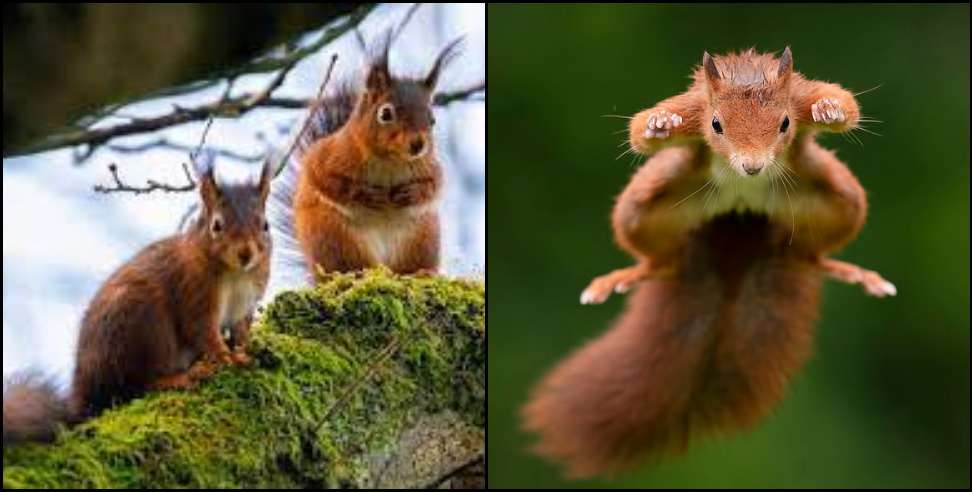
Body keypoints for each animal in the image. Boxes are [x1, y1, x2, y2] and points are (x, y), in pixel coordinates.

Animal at [3, 159, 272, 446]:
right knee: (134, 386)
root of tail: (83, 395)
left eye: (265, 225)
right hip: (143, 327)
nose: (246, 253)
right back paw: (179, 378)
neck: (236, 274)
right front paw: (225, 358)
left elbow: (241, 329)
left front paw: (244, 348)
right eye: (217, 225)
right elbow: (202, 331)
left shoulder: (246, 302)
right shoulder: (193, 292)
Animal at [278, 33, 464, 276]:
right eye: (385, 113)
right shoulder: (328, 155)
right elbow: (327, 179)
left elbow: (434, 185)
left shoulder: (429, 165)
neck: (390, 160)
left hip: (421, 239)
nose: (418, 145)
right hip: (334, 237)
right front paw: (366, 194)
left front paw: (412, 193)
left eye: (432, 120)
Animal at [524, 48, 896, 478]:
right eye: (716, 125)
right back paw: (629, 274)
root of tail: (739, 220)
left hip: (844, 201)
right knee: (663, 260)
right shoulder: (693, 107)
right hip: (639, 209)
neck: (747, 77)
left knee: (810, 254)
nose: (752, 167)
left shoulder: (800, 94)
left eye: (785, 123)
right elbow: (638, 131)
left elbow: (847, 104)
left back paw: (847, 270)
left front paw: (829, 110)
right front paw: (658, 124)